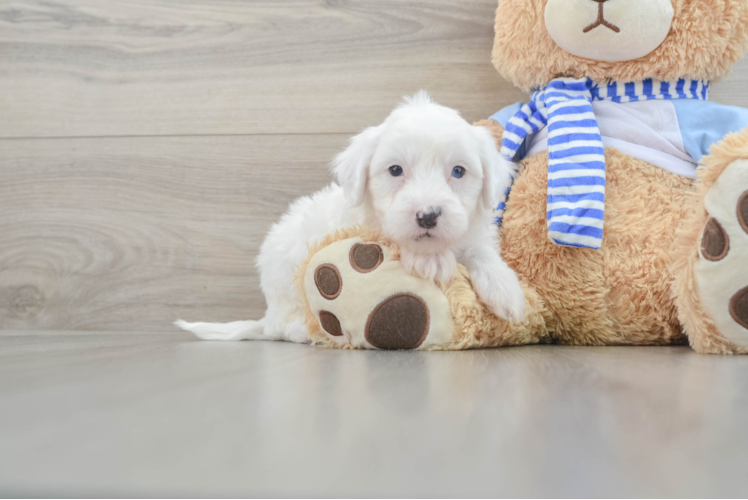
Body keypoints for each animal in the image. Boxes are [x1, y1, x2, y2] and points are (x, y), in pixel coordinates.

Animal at [178, 92, 524, 342]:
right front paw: (431, 261)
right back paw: (306, 330)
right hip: (283, 274)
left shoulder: (472, 231)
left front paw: (507, 291)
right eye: (395, 170)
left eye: (458, 172)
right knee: (283, 326)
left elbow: (481, 252)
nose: (428, 216)